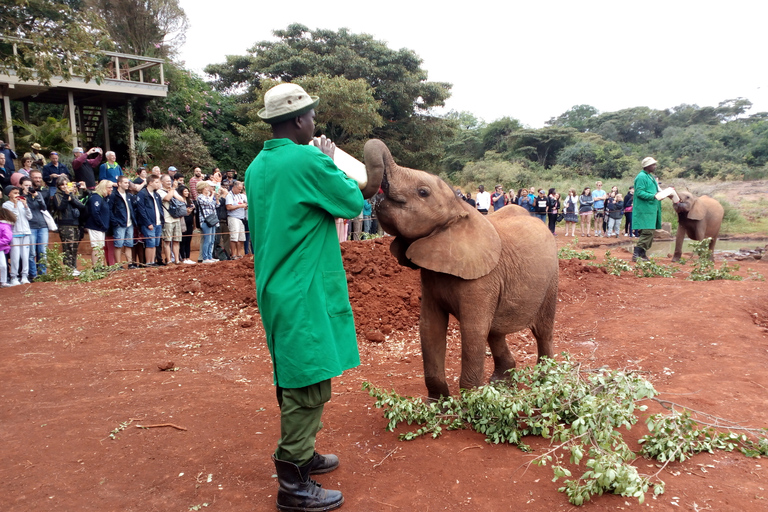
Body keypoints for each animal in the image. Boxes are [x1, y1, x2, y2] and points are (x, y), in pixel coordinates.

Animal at [366, 139, 560, 400]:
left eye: (423, 192)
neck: (460, 209)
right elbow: (430, 328)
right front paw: (436, 402)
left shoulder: (483, 280)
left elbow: (473, 331)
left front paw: (472, 402)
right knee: (495, 331)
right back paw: (501, 383)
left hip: (551, 280)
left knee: (542, 331)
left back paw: (546, 382)